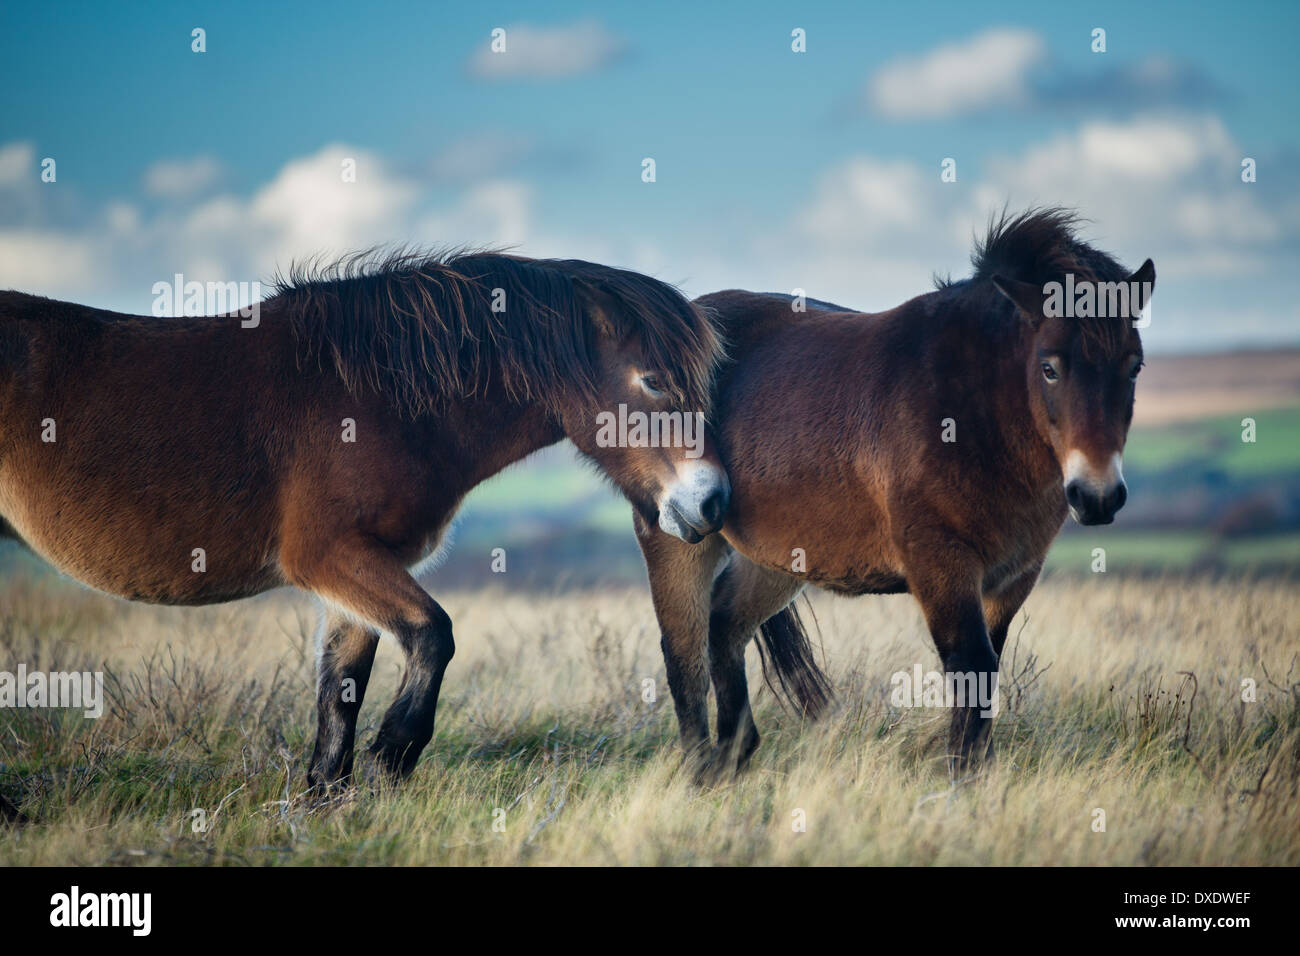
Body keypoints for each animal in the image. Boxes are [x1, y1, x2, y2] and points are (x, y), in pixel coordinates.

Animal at [0, 251, 733, 790]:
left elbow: (339, 695)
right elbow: (434, 635)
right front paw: (393, 757)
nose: (712, 502)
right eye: (654, 381)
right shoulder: (327, 557)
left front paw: (326, 799)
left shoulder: (354, 580)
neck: (377, 397)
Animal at [634, 210, 1154, 780]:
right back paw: (702, 772)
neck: (975, 412)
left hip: (776, 559)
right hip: (680, 537)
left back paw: (734, 756)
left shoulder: (1014, 576)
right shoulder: (940, 564)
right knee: (683, 650)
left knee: (725, 625)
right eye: (1049, 367)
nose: (1098, 496)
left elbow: (987, 671)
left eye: (1134, 367)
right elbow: (969, 664)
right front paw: (961, 780)